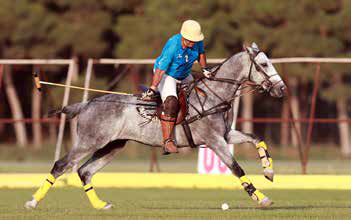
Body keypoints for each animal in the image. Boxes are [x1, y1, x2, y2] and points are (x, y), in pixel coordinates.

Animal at [25, 43, 288, 210]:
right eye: (264, 64)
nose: (282, 89)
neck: (214, 95)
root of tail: (86, 103)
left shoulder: (225, 134)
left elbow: (256, 137)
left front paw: (269, 171)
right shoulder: (214, 140)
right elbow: (236, 168)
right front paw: (262, 199)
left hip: (113, 145)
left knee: (84, 171)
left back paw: (101, 205)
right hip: (89, 141)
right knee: (62, 165)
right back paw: (32, 202)